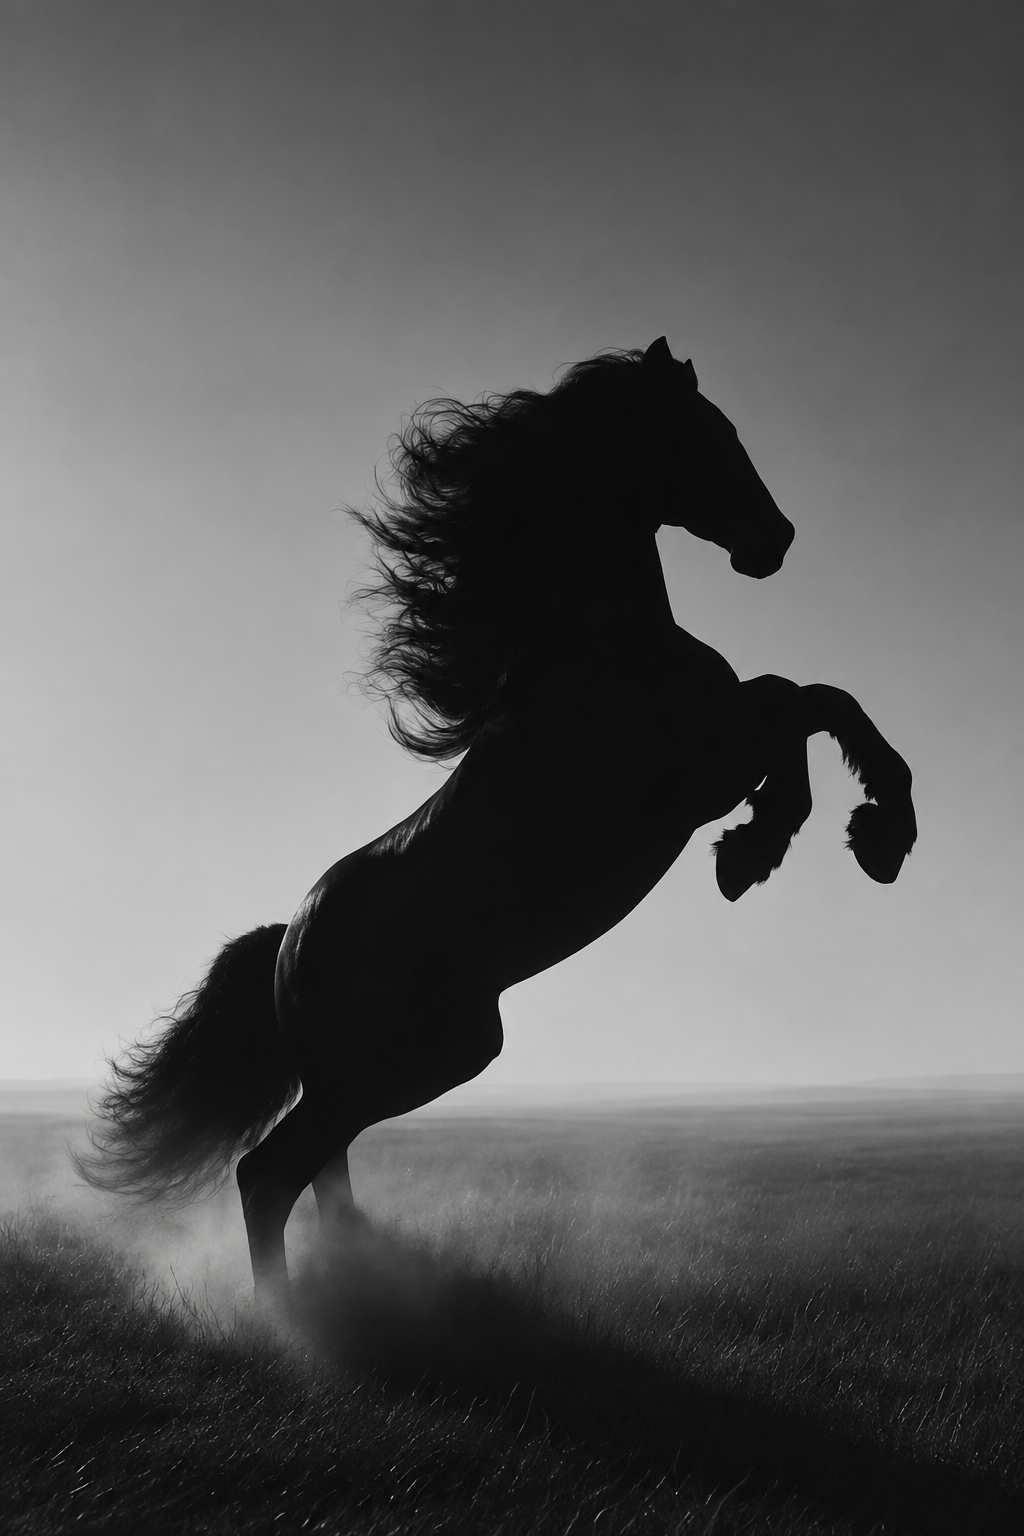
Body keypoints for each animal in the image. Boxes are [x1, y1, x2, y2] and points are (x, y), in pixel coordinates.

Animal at [75, 337, 917, 1311]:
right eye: (706, 433)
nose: (774, 540)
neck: (593, 650)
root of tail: (287, 944)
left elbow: (821, 698)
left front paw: (870, 835)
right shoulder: (699, 769)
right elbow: (796, 702)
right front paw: (773, 847)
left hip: (396, 1066)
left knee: (319, 1164)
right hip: (413, 1060)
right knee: (268, 1173)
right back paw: (294, 1319)